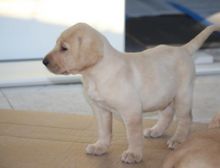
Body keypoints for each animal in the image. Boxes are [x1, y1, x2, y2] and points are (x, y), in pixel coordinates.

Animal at [43, 23, 220, 163]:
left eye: (64, 48)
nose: (44, 61)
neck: (95, 74)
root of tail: (182, 48)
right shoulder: (100, 110)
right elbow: (104, 131)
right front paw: (100, 147)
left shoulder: (131, 111)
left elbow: (133, 136)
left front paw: (134, 155)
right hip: (163, 94)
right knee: (167, 113)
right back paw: (156, 130)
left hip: (182, 95)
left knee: (186, 118)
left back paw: (178, 140)